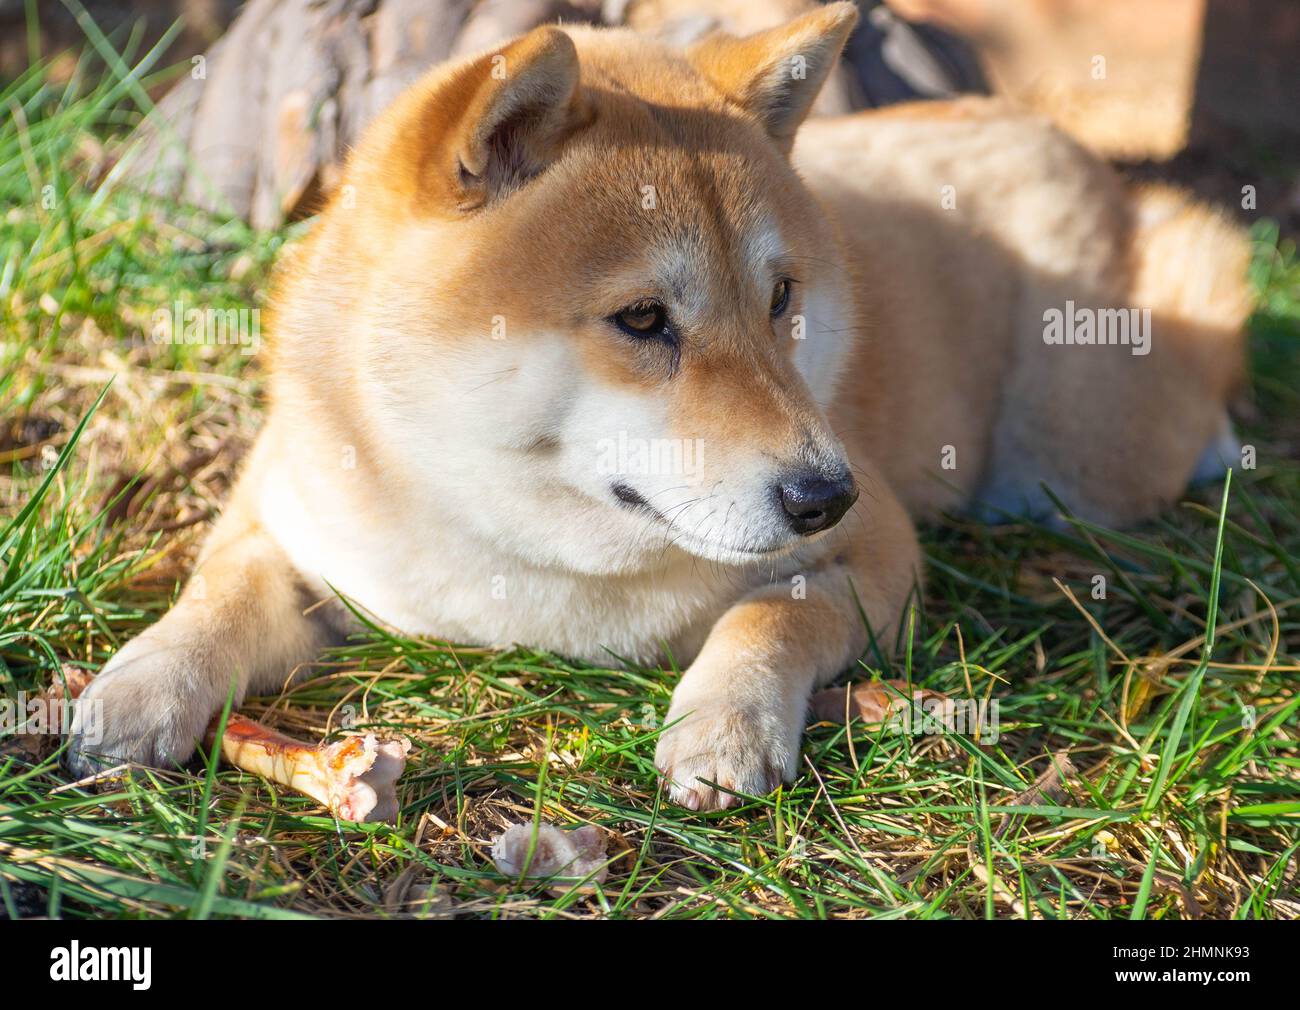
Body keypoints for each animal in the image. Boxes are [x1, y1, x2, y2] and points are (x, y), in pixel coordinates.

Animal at [68, 3, 1248, 805]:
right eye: (642, 319)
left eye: (781, 299)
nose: (824, 494)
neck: (520, 558)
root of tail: (1062, 139)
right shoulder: (286, 507)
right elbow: (216, 593)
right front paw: (140, 688)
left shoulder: (883, 557)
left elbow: (774, 609)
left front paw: (725, 725)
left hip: (1074, 461)